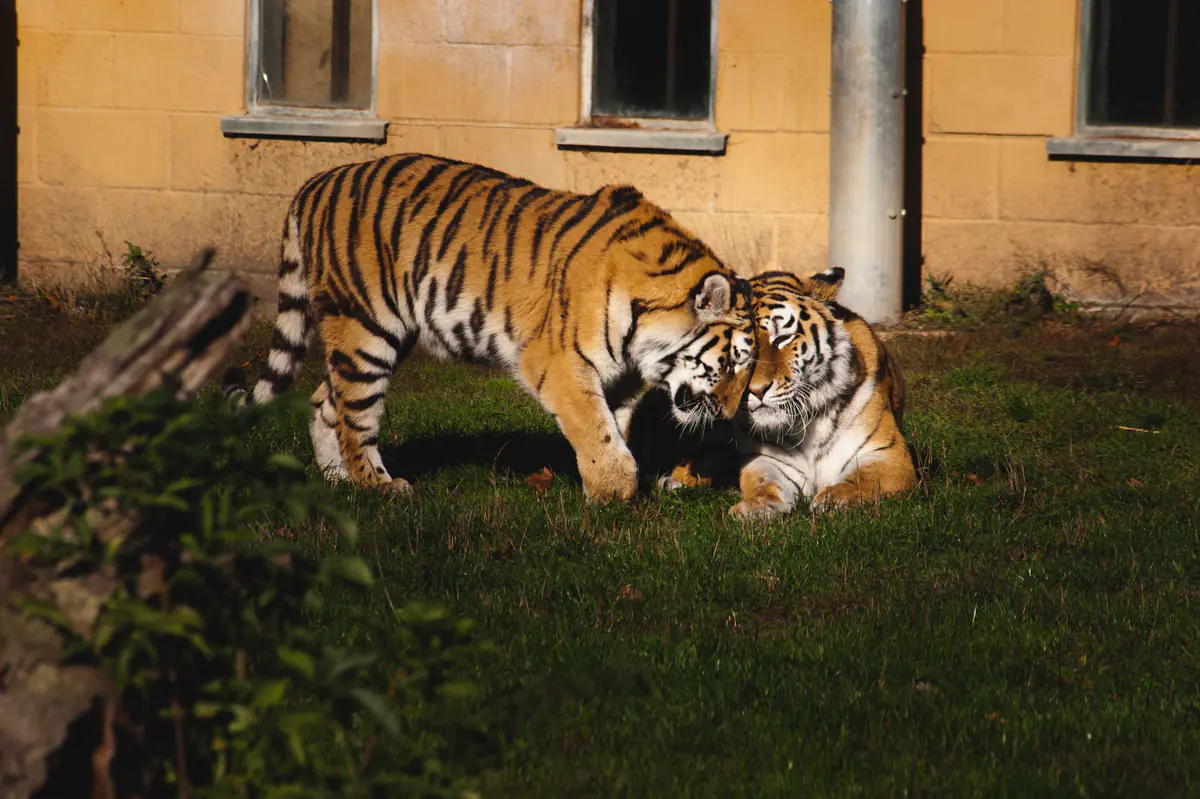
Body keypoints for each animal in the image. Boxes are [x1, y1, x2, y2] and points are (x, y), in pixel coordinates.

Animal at [224, 153, 757, 503]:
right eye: (733, 363)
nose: (732, 416)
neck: (643, 338)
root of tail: (315, 181)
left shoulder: (621, 378)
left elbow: (614, 429)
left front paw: (612, 487)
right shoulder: (558, 363)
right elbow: (596, 431)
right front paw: (614, 495)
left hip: (372, 333)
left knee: (324, 401)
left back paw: (338, 481)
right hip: (365, 327)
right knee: (356, 415)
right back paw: (379, 488)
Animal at [660, 267, 917, 519]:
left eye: (782, 339)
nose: (755, 391)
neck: (809, 426)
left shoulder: (888, 453)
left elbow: (863, 480)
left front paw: (833, 500)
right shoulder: (769, 460)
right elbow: (764, 483)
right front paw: (754, 507)